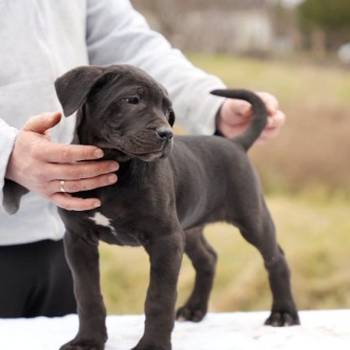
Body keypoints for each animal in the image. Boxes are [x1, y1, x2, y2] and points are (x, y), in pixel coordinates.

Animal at [2, 64, 300, 348]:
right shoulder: (78, 240)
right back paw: (194, 309)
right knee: (208, 258)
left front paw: (152, 344)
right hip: (189, 228)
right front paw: (87, 341)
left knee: (276, 258)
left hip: (251, 217)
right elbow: (88, 295)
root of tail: (236, 144)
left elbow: (158, 298)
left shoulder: (165, 239)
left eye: (169, 111)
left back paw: (283, 314)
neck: (117, 166)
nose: (166, 134)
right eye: (132, 100)